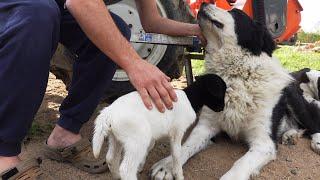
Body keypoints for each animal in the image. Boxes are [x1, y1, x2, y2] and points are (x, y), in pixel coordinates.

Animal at [151, 3, 320, 180]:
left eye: (235, 12)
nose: (204, 3)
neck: (235, 76)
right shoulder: (205, 126)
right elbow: (185, 147)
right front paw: (167, 165)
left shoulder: (264, 143)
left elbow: (239, 165)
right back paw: (290, 135)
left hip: (294, 99)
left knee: (313, 124)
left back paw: (315, 141)